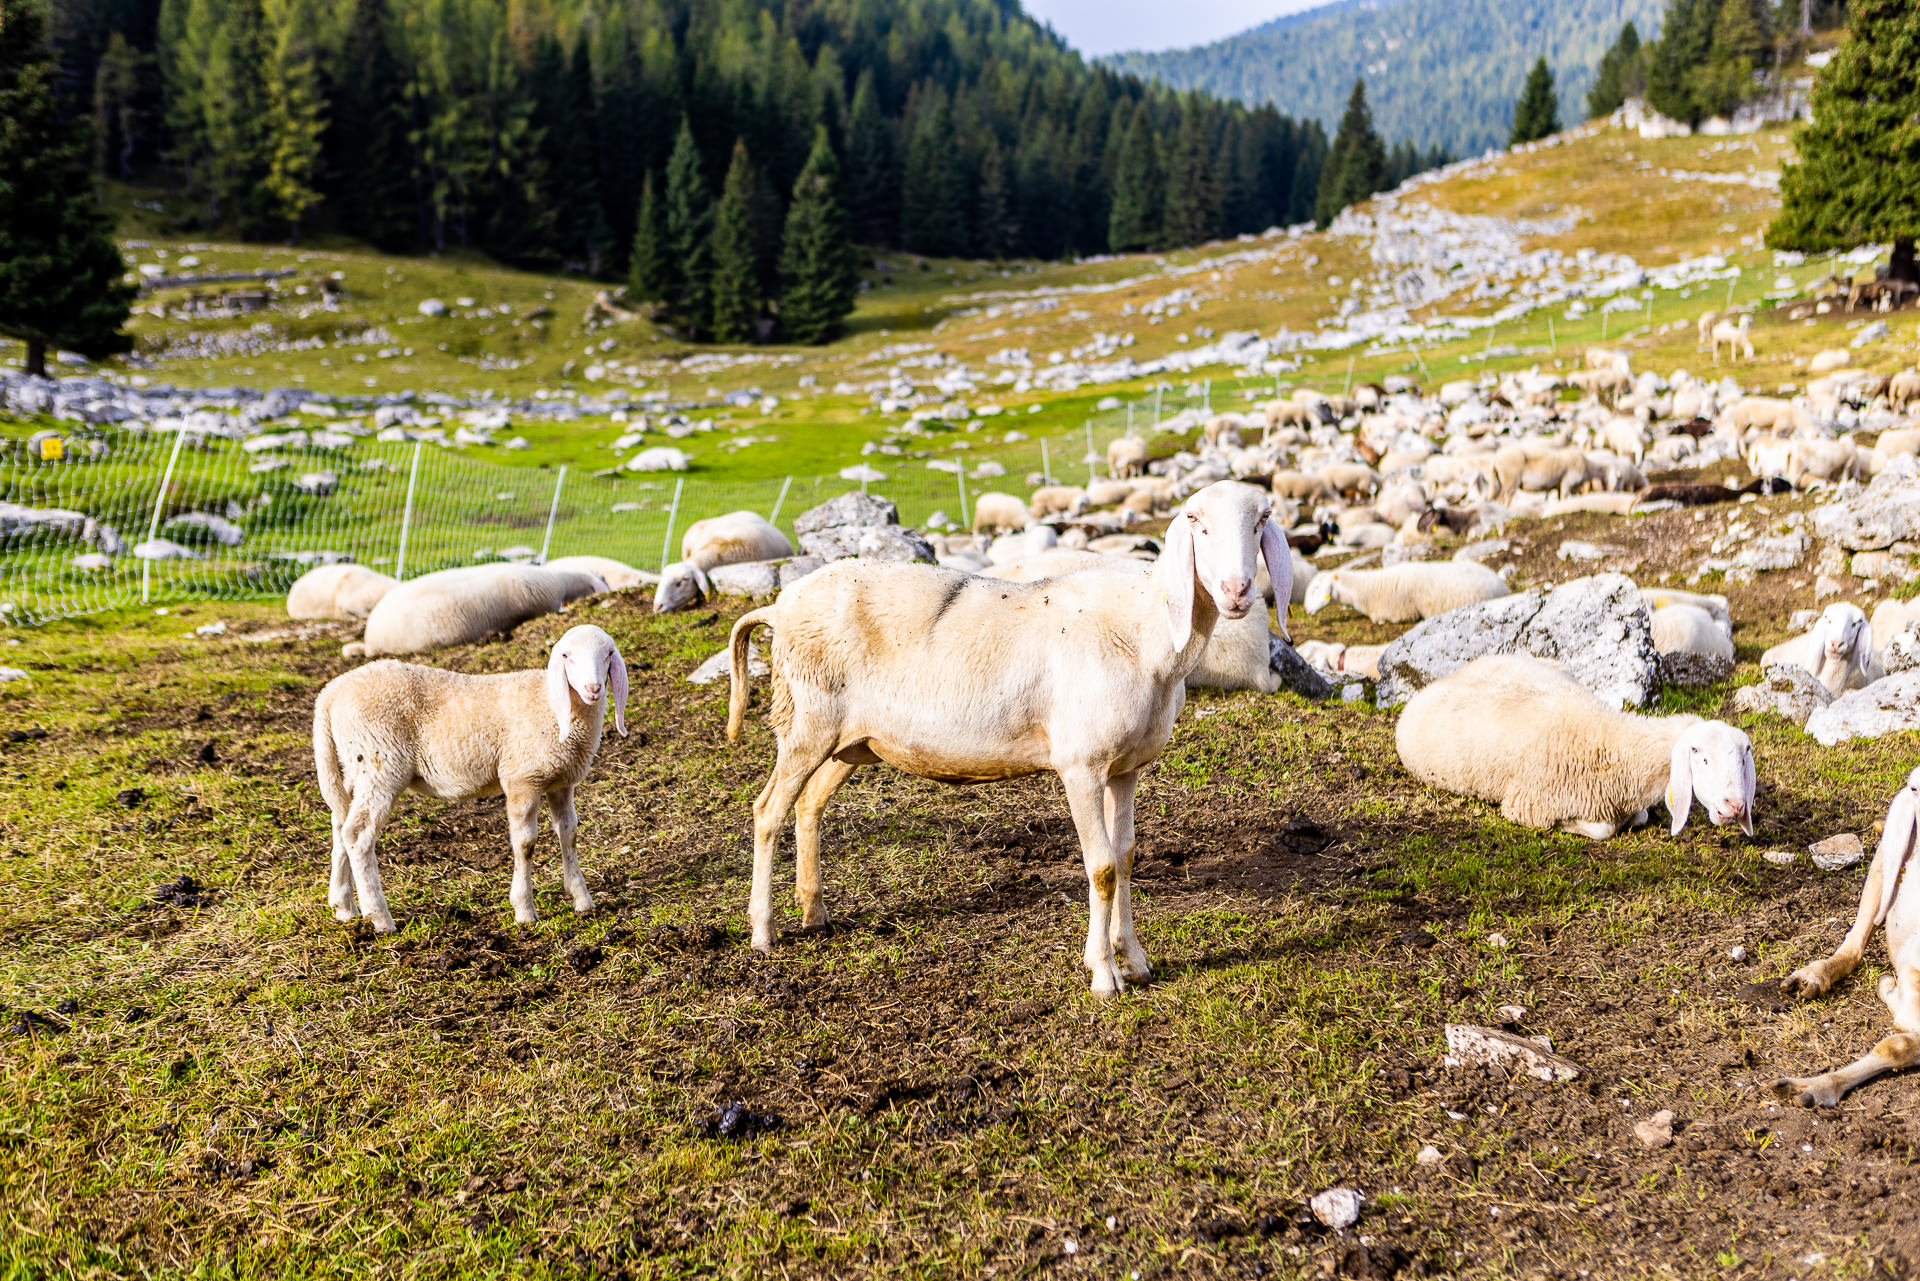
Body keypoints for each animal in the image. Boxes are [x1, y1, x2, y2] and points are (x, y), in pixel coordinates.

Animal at [313, 624, 628, 932]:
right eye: (566, 656)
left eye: (609, 654)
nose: (593, 689)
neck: (551, 705)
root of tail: (330, 694)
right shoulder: (522, 779)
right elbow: (525, 844)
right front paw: (524, 910)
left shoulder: (560, 781)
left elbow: (569, 834)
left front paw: (582, 900)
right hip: (380, 762)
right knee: (358, 834)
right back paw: (380, 918)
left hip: (355, 768)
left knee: (340, 823)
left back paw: (343, 906)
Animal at [723, 481, 1290, 996]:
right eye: (1196, 521)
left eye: (1262, 520)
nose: (1237, 591)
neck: (1146, 634)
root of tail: (780, 606)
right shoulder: (1081, 764)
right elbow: (1103, 867)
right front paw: (1104, 978)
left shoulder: (1126, 768)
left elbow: (1127, 857)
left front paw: (1133, 960)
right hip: (807, 723)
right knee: (768, 811)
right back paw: (763, 932)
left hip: (851, 741)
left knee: (808, 806)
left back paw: (814, 914)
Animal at [1396, 653, 1756, 840]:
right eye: (1701, 758)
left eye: (1742, 760)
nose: (1736, 806)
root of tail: (1454, 673)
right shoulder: (1527, 807)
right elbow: (1604, 830)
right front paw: (1571, 825)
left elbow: (1638, 817)